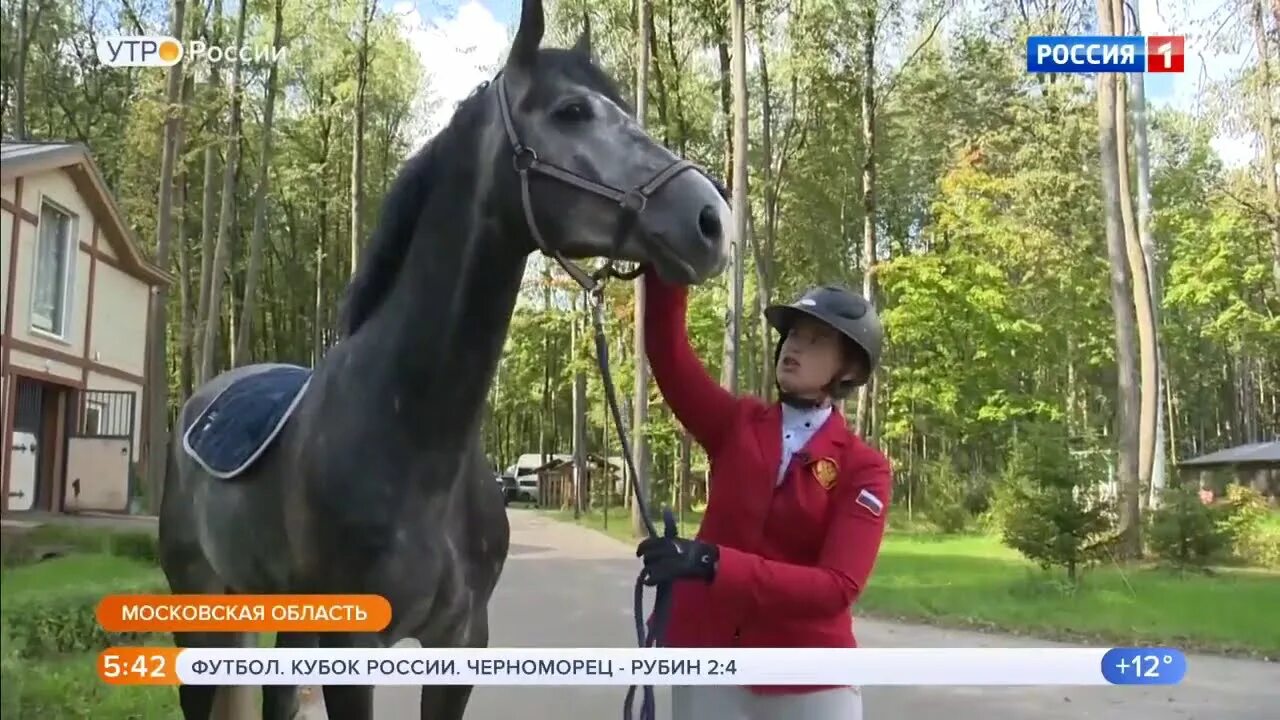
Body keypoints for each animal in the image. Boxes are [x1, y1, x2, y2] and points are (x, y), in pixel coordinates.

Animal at [158, 1, 732, 717]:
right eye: (572, 111)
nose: (712, 219)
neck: (413, 437)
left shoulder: (462, 639)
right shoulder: (347, 646)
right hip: (200, 606)